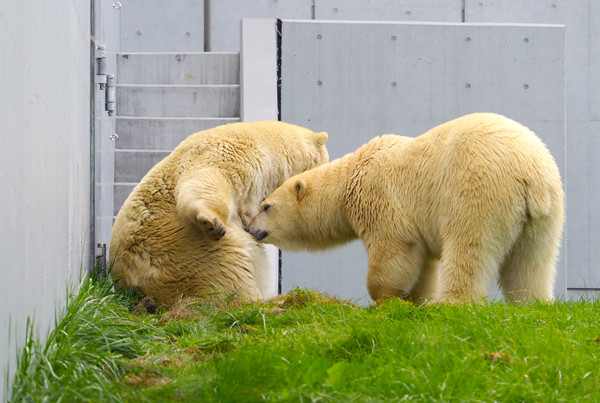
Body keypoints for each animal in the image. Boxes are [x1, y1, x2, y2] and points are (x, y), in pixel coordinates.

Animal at [246, 113, 564, 304]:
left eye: (266, 206)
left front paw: (385, 299)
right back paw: (532, 304)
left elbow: (394, 251)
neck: (351, 177)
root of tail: (530, 171)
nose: (249, 228)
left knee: (470, 248)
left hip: (477, 192)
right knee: (532, 261)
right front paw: (415, 300)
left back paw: (450, 302)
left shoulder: (381, 200)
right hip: (545, 214)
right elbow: (423, 263)